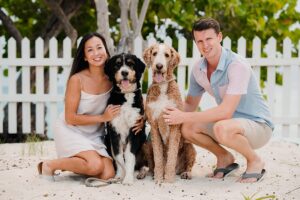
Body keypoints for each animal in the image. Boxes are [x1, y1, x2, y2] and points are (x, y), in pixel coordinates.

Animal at [103, 52, 148, 184]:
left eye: (130, 64)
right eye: (117, 65)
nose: (124, 72)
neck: (126, 95)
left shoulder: (134, 129)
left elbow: (129, 156)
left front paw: (128, 178)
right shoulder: (114, 131)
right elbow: (118, 156)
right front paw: (119, 176)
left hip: (145, 143)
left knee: (145, 165)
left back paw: (141, 173)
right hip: (106, 139)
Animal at [143, 43, 197, 183]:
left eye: (167, 55)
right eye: (154, 53)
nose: (159, 66)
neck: (162, 86)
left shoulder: (175, 125)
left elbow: (172, 152)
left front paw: (168, 178)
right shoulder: (154, 125)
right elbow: (158, 157)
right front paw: (158, 177)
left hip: (190, 147)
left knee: (189, 165)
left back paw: (185, 173)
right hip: (147, 144)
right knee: (151, 165)